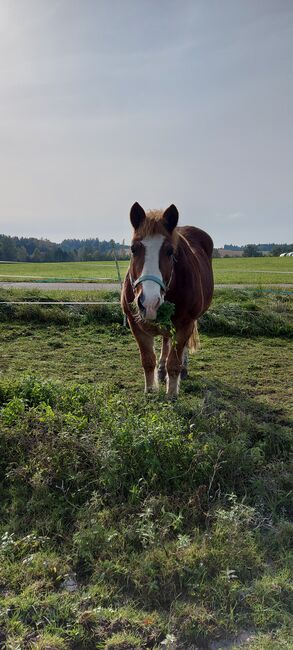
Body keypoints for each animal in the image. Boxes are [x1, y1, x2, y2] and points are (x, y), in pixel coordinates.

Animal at [120, 201, 213, 394]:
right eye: (133, 249)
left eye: (170, 251)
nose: (149, 303)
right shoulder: (136, 325)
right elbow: (148, 360)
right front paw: (150, 391)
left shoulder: (185, 324)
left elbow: (174, 362)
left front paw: (172, 393)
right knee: (165, 339)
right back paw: (161, 370)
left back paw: (183, 369)